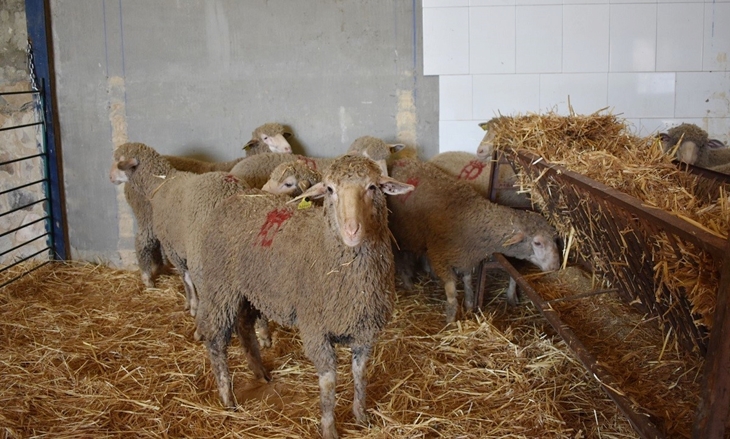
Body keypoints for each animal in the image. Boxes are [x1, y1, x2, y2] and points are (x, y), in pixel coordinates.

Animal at [109, 143, 250, 318]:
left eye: (118, 160)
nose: (110, 177)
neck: (161, 183)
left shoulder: (172, 247)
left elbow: (186, 278)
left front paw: (193, 305)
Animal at [193, 155, 412, 439]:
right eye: (329, 189)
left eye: (372, 187)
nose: (352, 231)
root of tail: (236, 198)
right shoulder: (316, 329)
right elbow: (328, 383)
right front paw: (329, 428)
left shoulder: (365, 330)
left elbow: (360, 374)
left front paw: (361, 416)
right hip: (220, 285)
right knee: (217, 340)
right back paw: (227, 398)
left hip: (250, 288)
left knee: (244, 326)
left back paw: (260, 372)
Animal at [386, 158, 556, 324]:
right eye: (538, 243)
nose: (555, 266)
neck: (471, 217)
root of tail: (402, 161)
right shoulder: (441, 258)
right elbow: (451, 293)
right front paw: (451, 319)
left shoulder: (467, 258)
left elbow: (468, 282)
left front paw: (468, 305)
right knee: (400, 258)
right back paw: (408, 282)